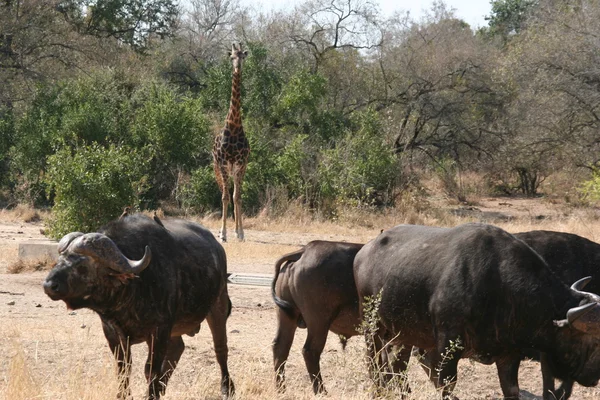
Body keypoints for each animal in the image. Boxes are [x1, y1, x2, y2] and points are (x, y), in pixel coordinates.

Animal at [42, 216, 233, 400]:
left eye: (82, 266)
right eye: (59, 261)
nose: (49, 285)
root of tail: (217, 248)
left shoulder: (159, 331)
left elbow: (151, 370)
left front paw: (152, 394)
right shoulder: (112, 332)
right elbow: (123, 368)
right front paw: (124, 395)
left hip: (219, 305)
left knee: (220, 349)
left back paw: (226, 388)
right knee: (178, 348)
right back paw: (163, 388)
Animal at [270, 241, 364, 394]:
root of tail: (304, 250)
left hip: (286, 316)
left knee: (280, 347)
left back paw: (281, 389)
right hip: (319, 322)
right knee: (310, 351)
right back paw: (320, 390)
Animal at [354, 223, 600, 400]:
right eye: (595, 342)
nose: (594, 377)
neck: (500, 286)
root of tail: (364, 251)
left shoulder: (509, 355)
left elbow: (512, 390)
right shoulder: (447, 347)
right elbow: (446, 386)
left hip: (404, 333)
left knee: (398, 364)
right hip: (372, 326)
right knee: (374, 362)